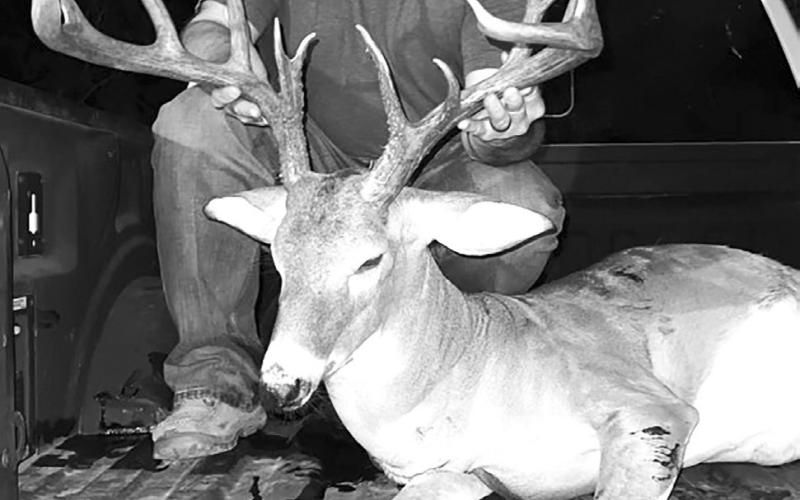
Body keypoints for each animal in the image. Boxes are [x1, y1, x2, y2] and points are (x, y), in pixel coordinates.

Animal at [32, 0, 800, 498]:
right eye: (277, 254)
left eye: (371, 258)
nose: (281, 384)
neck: (473, 374)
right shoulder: (450, 472)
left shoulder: (649, 411)